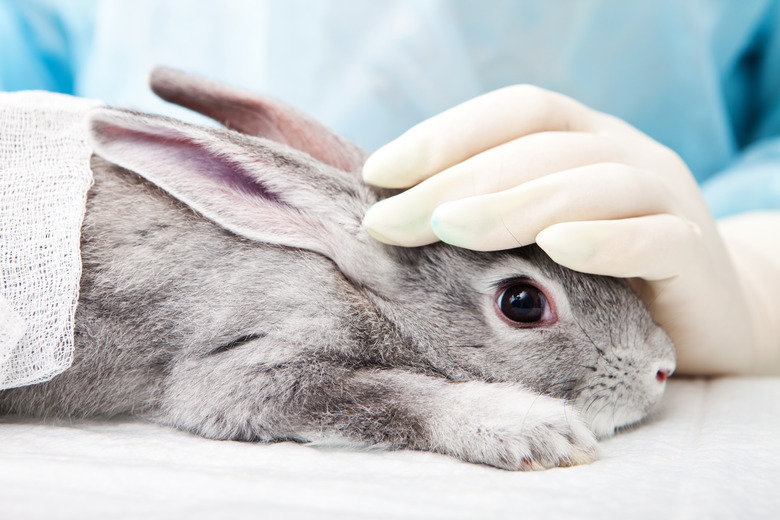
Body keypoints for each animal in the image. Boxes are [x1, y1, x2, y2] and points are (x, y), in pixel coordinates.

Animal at [0, 68, 672, 472]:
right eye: (522, 302)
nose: (663, 368)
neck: (359, 288)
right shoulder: (247, 367)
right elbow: (391, 395)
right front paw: (537, 430)